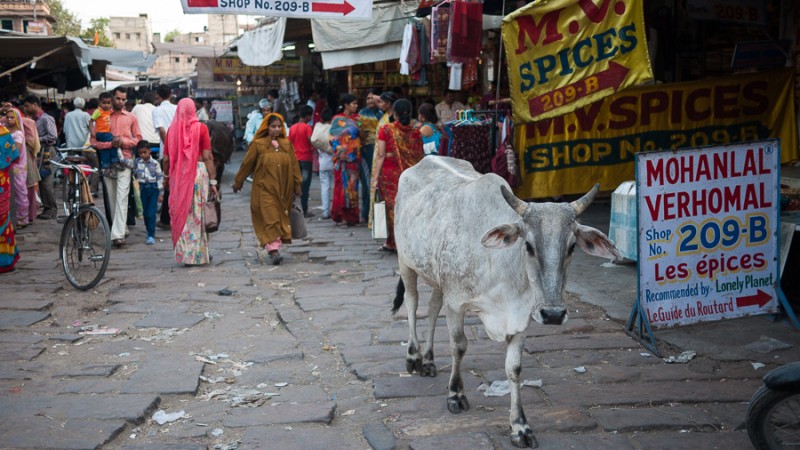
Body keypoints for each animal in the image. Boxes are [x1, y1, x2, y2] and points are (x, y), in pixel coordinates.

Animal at [394, 156, 624, 448]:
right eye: (528, 245)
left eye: (572, 246)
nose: (553, 314)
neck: (501, 266)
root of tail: (423, 160)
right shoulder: (456, 303)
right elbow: (459, 347)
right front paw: (456, 394)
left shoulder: (522, 316)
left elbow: (514, 368)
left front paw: (520, 426)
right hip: (406, 263)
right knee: (412, 305)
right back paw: (413, 357)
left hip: (436, 279)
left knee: (433, 309)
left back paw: (428, 360)